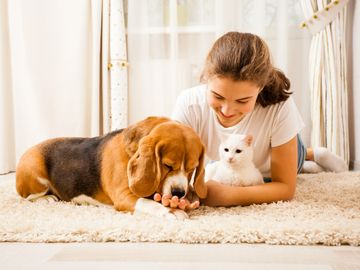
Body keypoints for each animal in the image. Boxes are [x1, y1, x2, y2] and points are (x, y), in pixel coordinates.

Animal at [15, 116, 207, 219]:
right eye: (167, 165)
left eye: (191, 168)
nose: (178, 193)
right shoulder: (124, 196)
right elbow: (148, 203)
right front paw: (171, 211)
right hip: (34, 171)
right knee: (26, 198)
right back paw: (47, 198)